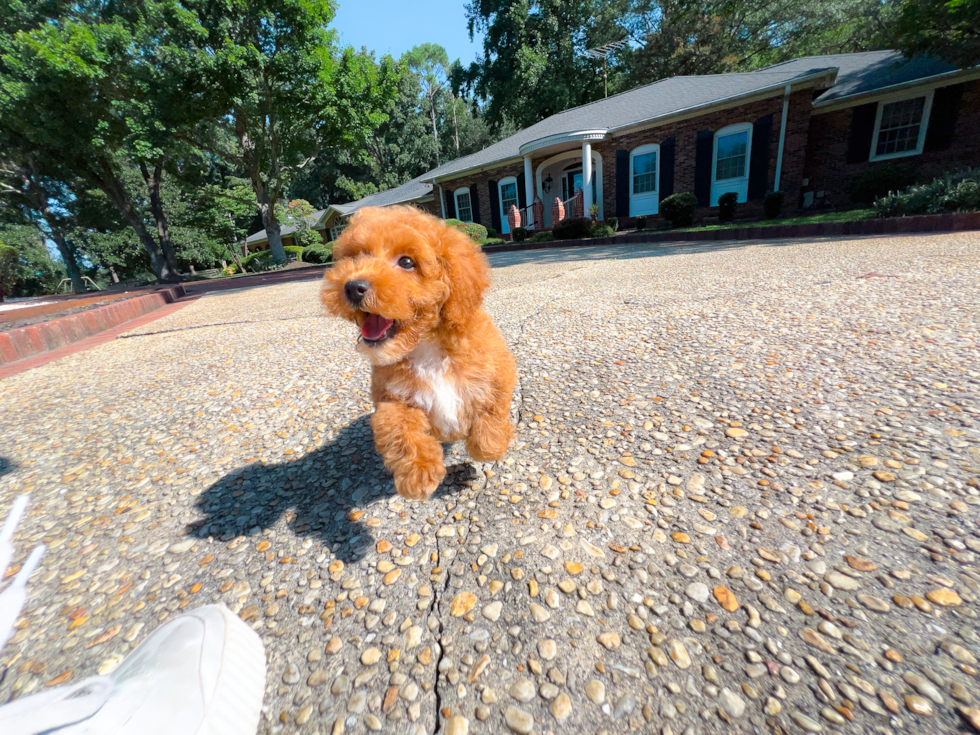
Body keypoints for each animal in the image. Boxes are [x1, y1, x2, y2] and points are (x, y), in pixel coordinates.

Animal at [324, 206, 520, 500]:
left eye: (407, 262)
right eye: (356, 256)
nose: (352, 286)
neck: (426, 345)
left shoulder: (497, 371)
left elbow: (491, 414)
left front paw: (490, 446)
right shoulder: (393, 397)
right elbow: (399, 428)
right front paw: (418, 474)